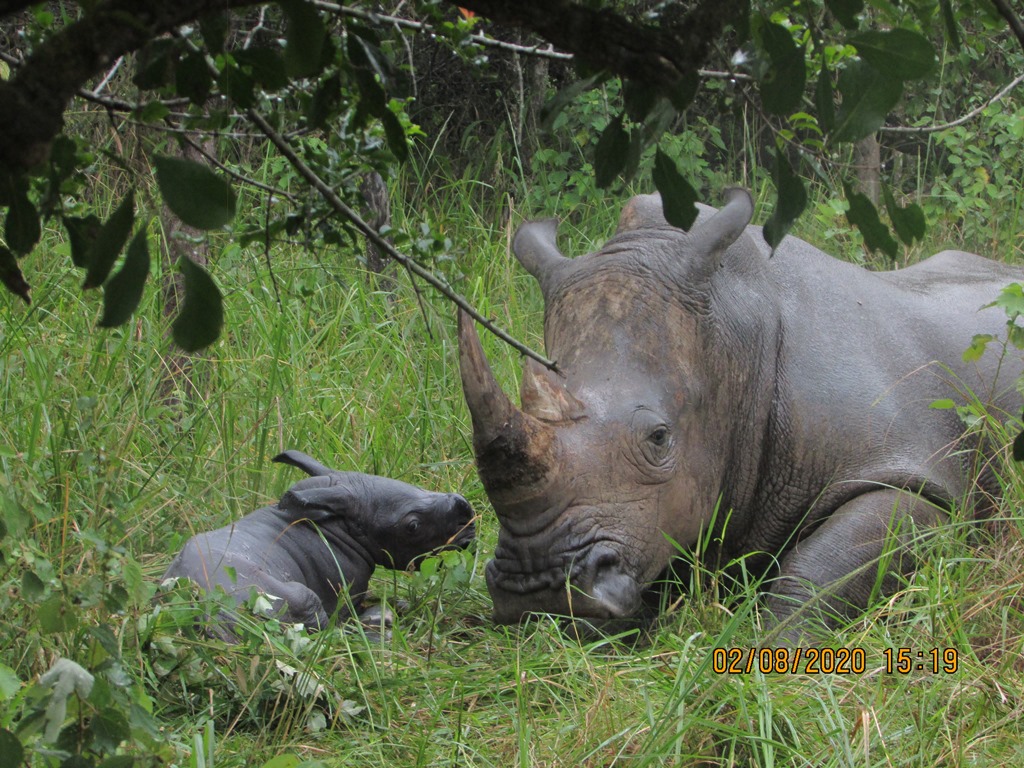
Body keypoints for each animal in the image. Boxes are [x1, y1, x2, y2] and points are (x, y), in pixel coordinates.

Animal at [162, 450, 476, 635]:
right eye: (412, 526)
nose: (468, 513)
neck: (335, 524)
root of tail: (208, 618)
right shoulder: (346, 593)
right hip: (291, 599)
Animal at [458, 189, 1022, 640]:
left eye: (659, 438)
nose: (537, 588)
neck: (737, 337)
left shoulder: (914, 477)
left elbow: (824, 569)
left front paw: (781, 650)